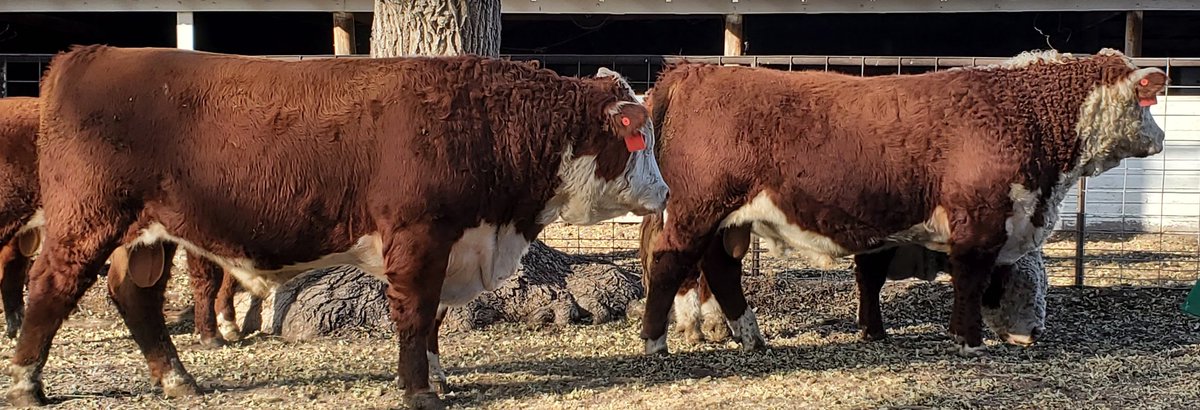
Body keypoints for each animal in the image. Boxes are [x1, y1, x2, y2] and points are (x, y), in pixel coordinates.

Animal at [638, 48, 1166, 358]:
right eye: (1146, 100)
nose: (1031, 335)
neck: (1019, 109)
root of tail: (693, 72)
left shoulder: (891, 229)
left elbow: (871, 279)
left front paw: (875, 331)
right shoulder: (981, 222)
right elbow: (970, 281)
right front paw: (968, 340)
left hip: (726, 223)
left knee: (720, 270)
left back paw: (751, 336)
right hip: (695, 211)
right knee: (669, 264)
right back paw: (655, 342)